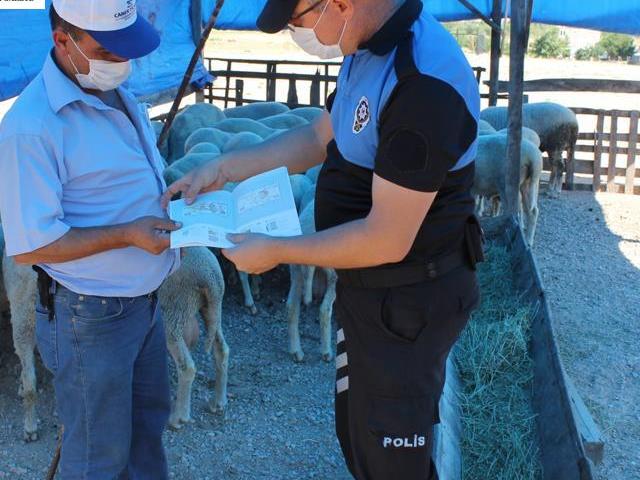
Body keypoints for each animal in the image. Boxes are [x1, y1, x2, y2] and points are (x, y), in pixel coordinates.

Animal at [159, 246, 229, 426]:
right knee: (222, 349)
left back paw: (178, 418)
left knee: (187, 366)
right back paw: (218, 402)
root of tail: (211, 276)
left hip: (173, 312)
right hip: (212, 310)